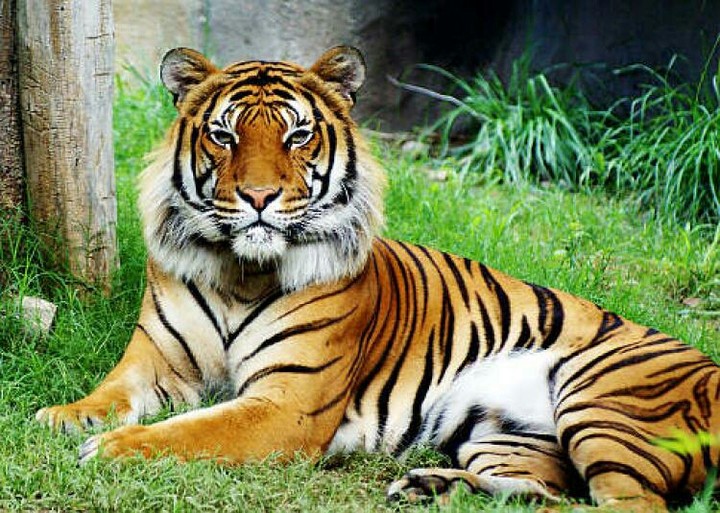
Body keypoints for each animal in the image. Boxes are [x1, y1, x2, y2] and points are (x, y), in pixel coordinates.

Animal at [36, 45, 720, 512]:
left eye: (298, 135)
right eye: (224, 135)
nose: (258, 198)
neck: (242, 270)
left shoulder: (286, 404)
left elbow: (193, 430)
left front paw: (114, 449)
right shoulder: (155, 362)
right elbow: (108, 394)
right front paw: (63, 418)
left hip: (603, 401)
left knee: (628, 505)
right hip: (507, 436)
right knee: (547, 495)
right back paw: (430, 485)